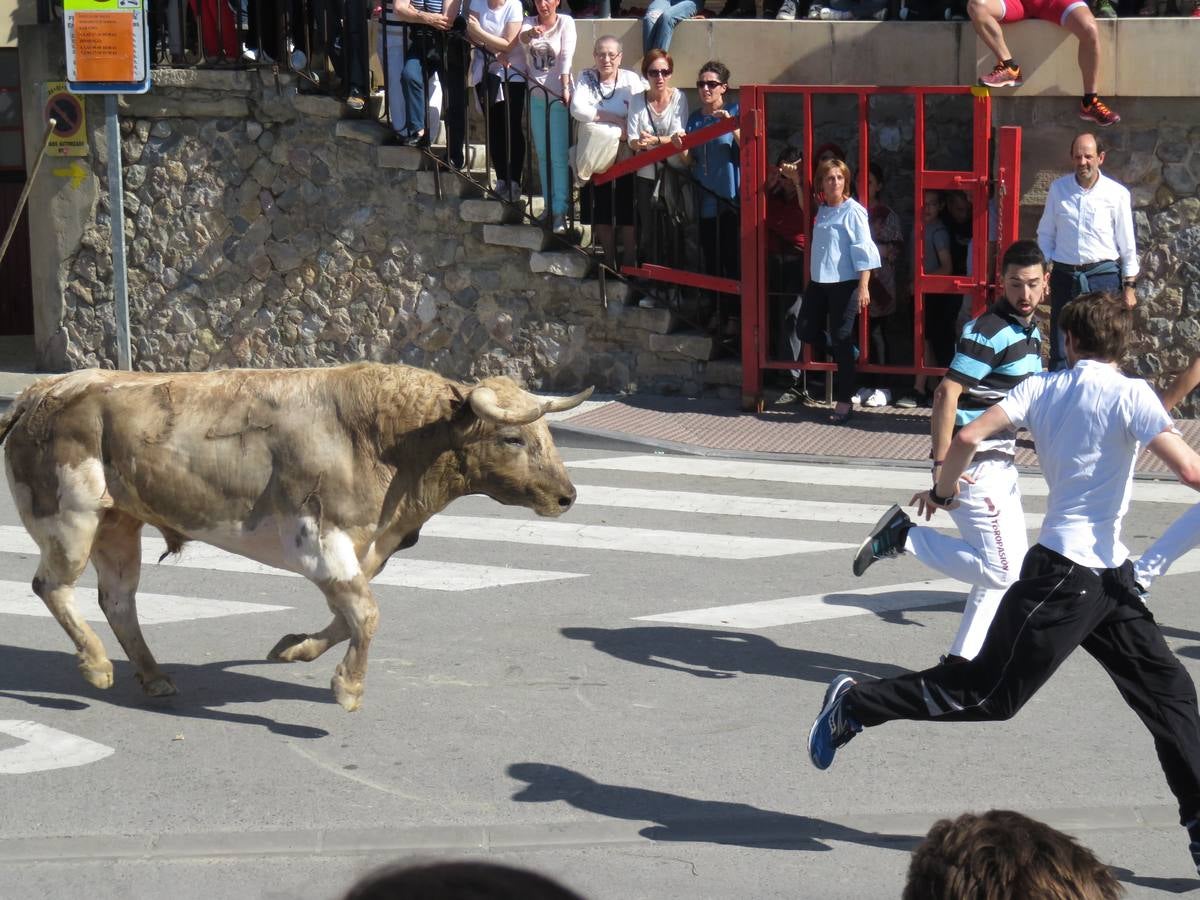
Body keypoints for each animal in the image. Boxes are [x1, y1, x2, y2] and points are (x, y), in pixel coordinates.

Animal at [0, 364, 590, 710]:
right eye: (512, 438)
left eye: (547, 434)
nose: (567, 496)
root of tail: (40, 391)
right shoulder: (321, 542)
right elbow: (366, 614)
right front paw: (348, 687)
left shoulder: (363, 549)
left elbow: (348, 615)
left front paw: (294, 648)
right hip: (71, 519)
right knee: (52, 586)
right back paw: (96, 666)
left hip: (119, 522)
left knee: (118, 599)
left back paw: (151, 675)